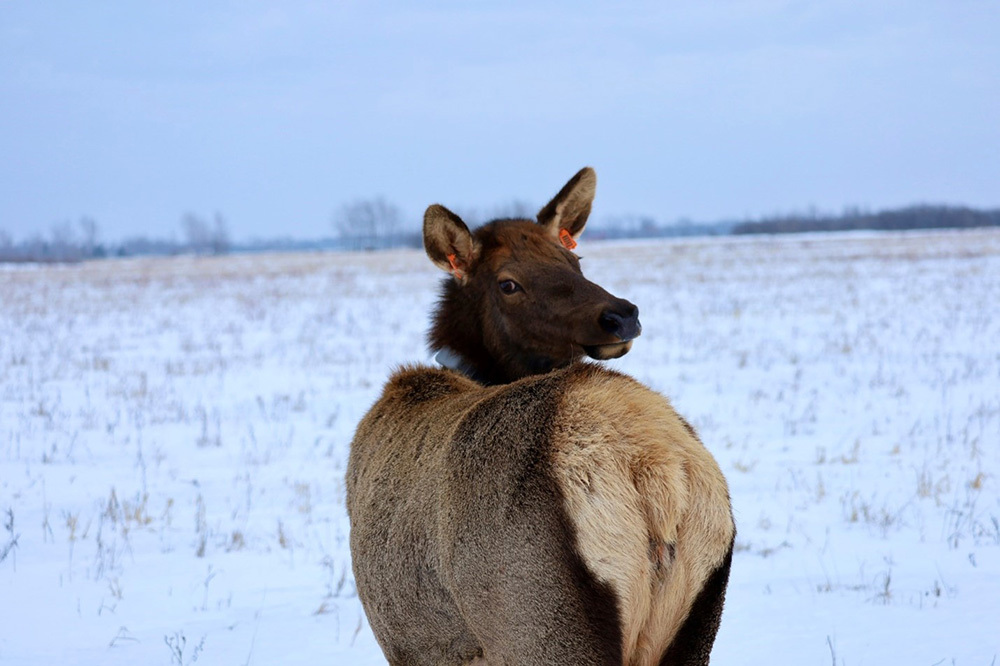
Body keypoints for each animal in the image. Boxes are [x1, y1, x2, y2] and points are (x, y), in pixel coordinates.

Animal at [346, 167, 735, 666]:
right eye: (507, 283)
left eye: (575, 261)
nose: (620, 316)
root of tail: (651, 472)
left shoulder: (405, 643)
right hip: (695, 617)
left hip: (537, 619)